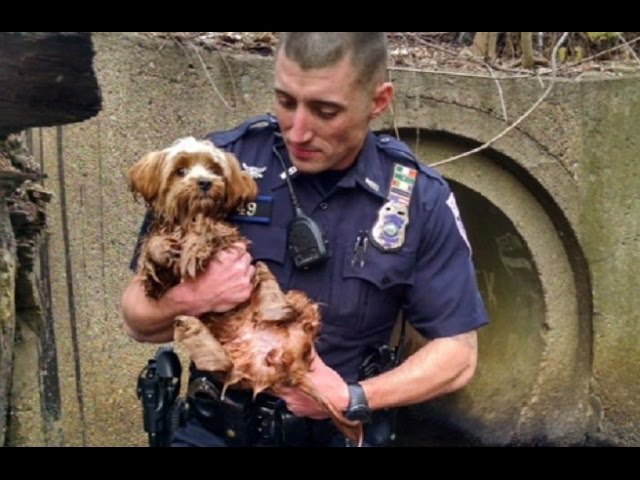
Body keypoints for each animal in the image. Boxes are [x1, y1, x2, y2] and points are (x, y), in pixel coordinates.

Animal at [129, 137, 360, 444]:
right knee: (223, 363)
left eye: (214, 168)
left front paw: (194, 244)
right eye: (180, 170)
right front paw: (162, 248)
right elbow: (152, 254)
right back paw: (195, 329)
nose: (204, 182)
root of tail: (285, 362)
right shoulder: (158, 284)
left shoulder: (228, 236)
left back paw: (274, 307)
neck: (187, 216)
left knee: (294, 306)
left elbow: (208, 229)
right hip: (233, 367)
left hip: (296, 302)